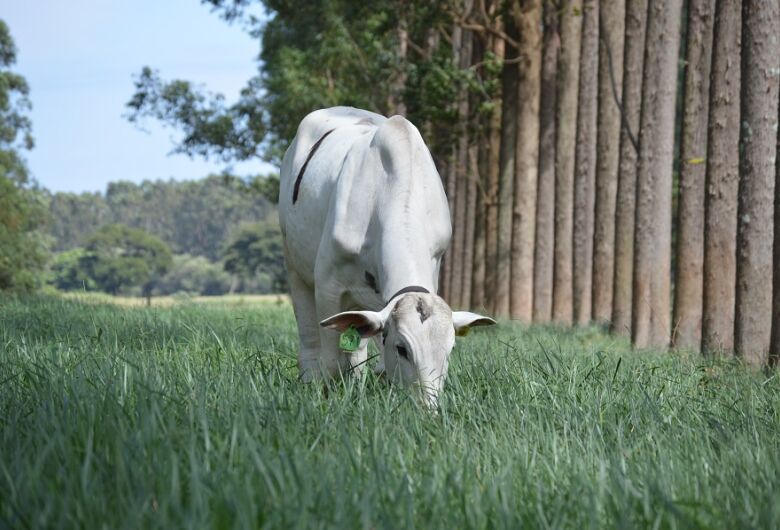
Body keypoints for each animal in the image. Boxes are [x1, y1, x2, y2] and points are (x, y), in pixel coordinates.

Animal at [278, 107, 494, 404]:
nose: (428, 407)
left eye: (449, 349)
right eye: (402, 348)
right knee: (309, 337)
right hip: (294, 264)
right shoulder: (328, 286)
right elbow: (331, 360)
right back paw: (310, 378)